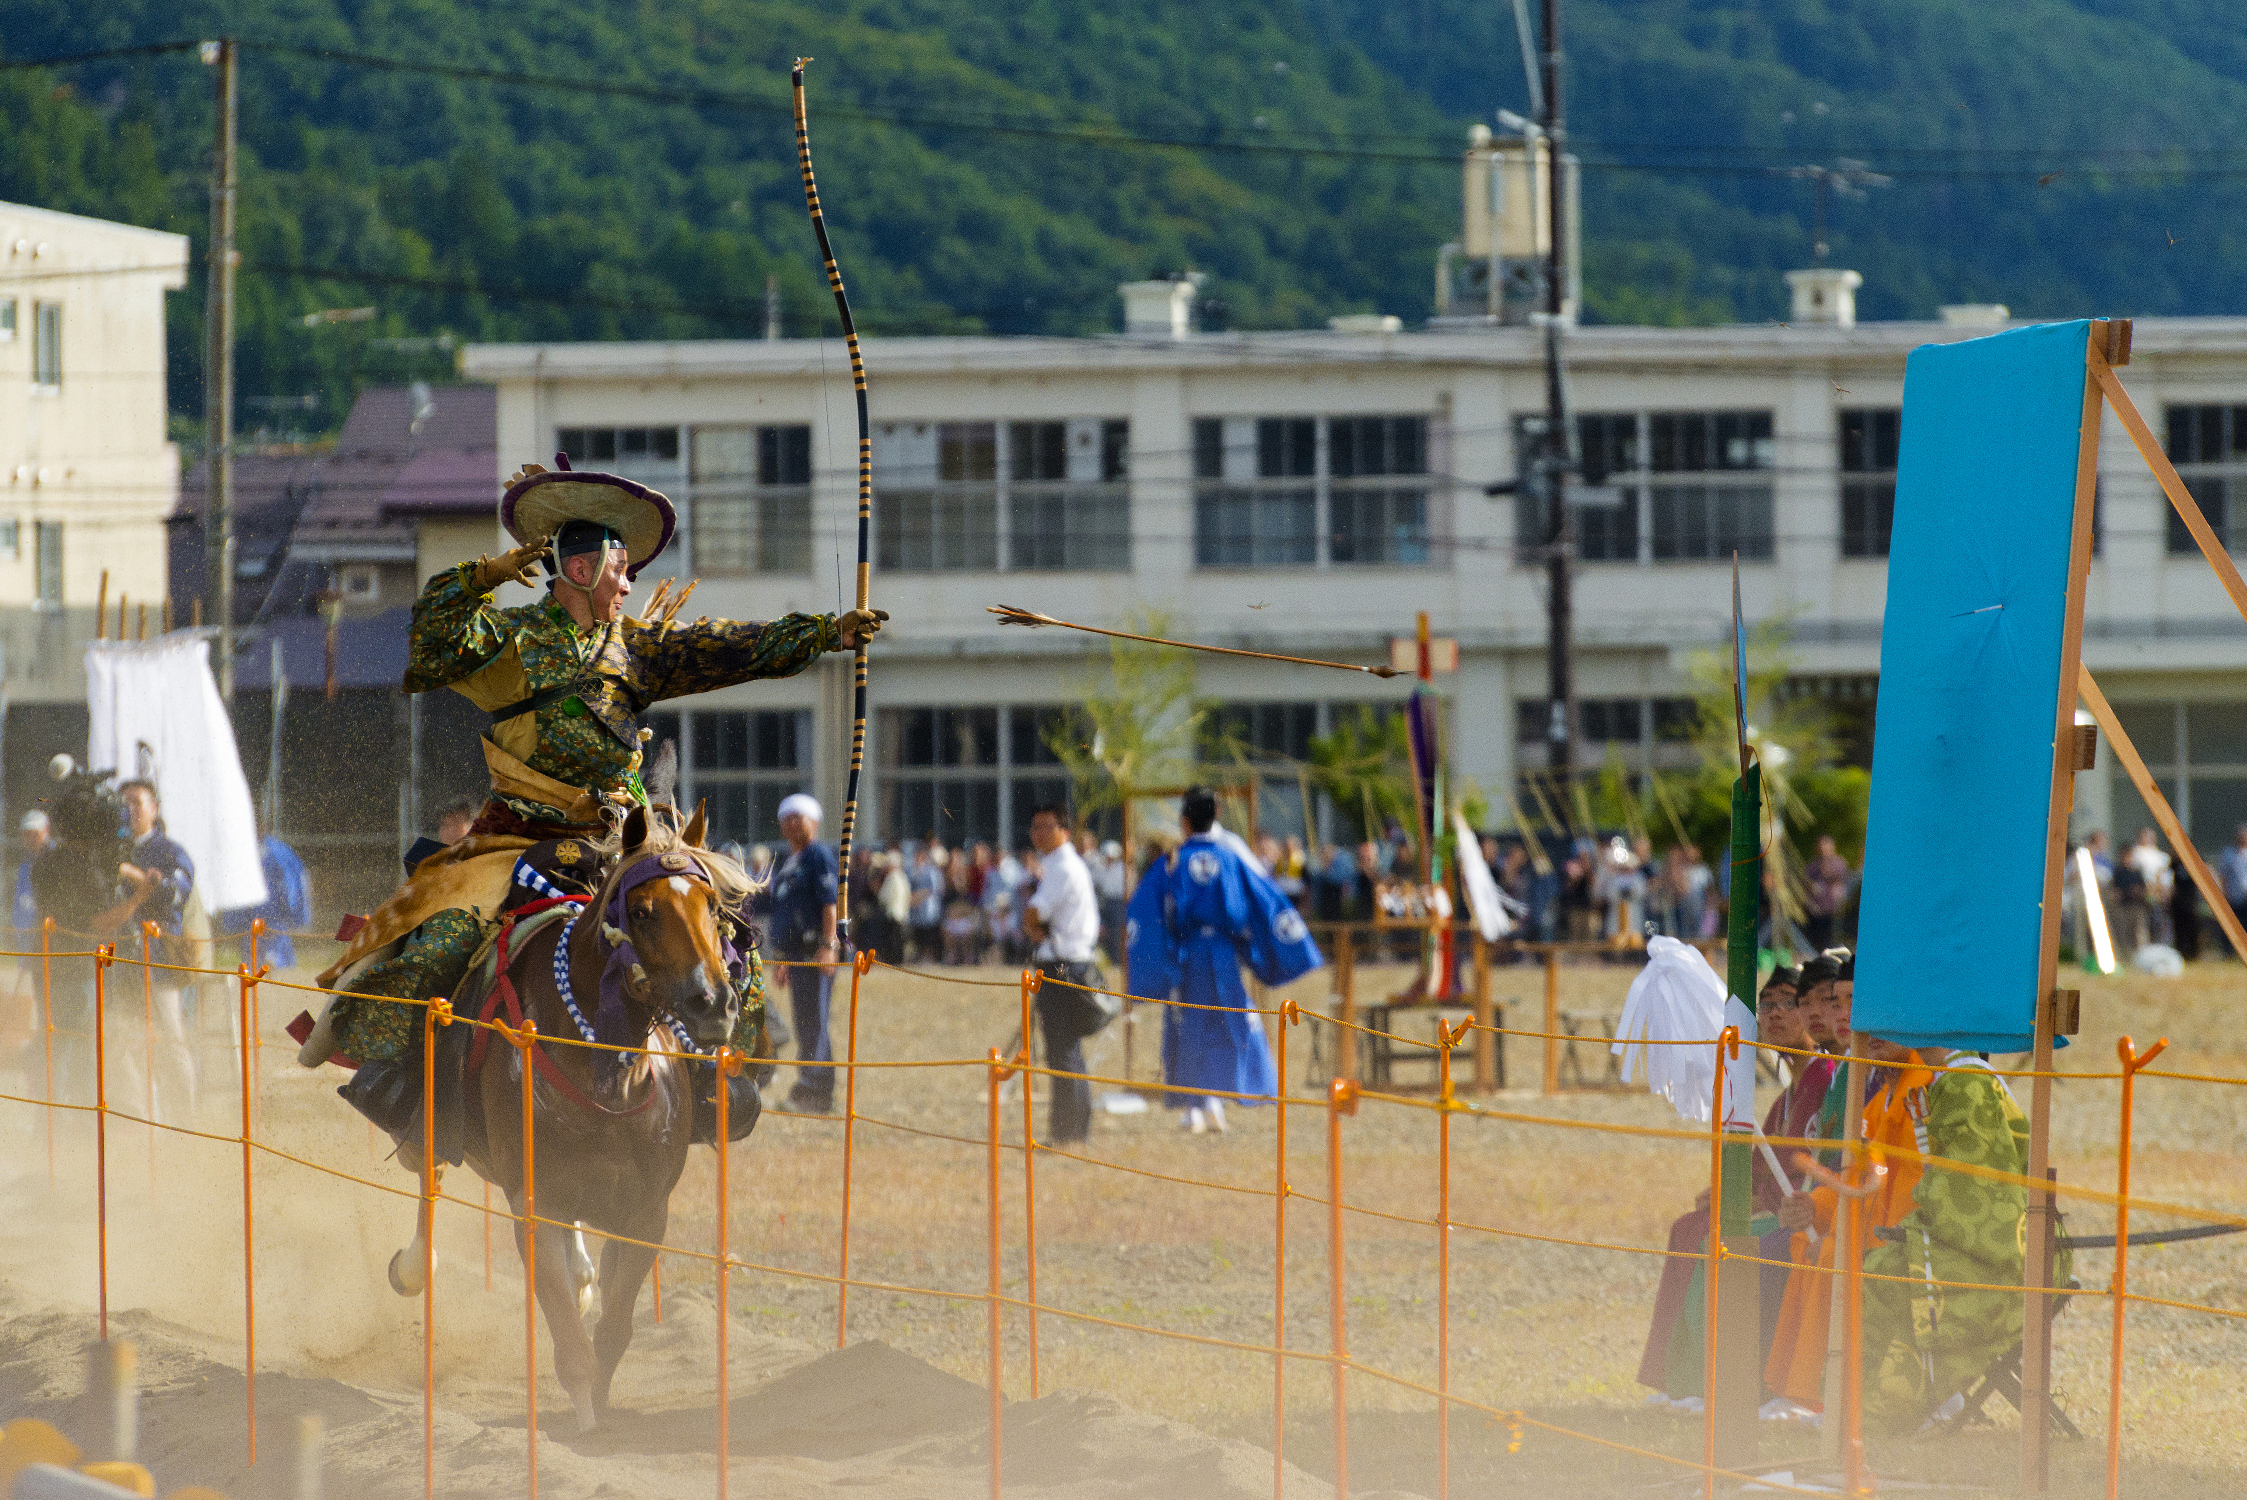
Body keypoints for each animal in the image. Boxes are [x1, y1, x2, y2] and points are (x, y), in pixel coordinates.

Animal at [390, 801, 758, 1432]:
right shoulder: (537, 1206)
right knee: (426, 1177)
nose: (712, 1003)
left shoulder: (645, 1214)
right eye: (642, 911)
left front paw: (601, 1410)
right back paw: (416, 1265)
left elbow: (614, 1327)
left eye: (713, 907)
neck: (606, 1078)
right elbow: (565, 1328)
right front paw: (583, 1417)